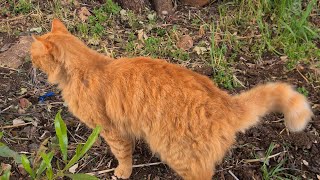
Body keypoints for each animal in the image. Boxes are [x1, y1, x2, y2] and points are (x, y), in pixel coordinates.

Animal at [30, 19, 312, 179]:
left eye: (33, 53)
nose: (29, 60)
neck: (87, 68)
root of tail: (225, 101)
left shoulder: (111, 130)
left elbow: (123, 155)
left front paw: (122, 172)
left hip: (179, 155)